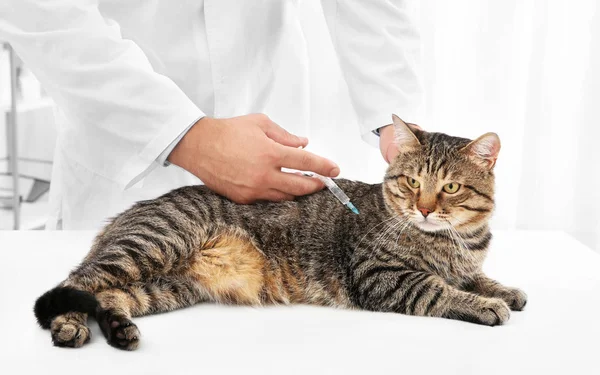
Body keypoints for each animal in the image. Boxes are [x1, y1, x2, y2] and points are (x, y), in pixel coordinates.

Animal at [35, 114, 528, 350]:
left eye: (450, 187)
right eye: (411, 182)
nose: (424, 209)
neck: (457, 240)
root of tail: (121, 217)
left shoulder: (465, 261)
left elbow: (477, 276)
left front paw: (505, 290)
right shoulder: (381, 276)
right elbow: (439, 289)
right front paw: (486, 305)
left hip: (165, 286)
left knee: (107, 296)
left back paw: (119, 329)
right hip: (153, 245)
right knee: (73, 283)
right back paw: (69, 327)